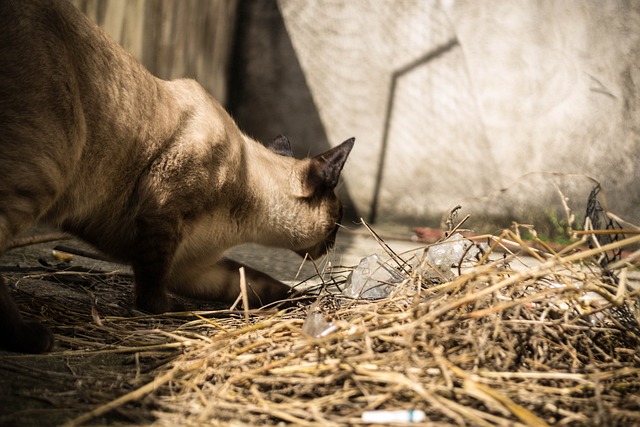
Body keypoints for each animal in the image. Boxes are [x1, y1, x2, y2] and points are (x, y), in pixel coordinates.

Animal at [0, 0, 356, 354]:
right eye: (338, 220)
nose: (333, 243)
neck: (246, 220)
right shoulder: (162, 219)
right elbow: (152, 287)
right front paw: (167, 310)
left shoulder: (195, 267)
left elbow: (260, 283)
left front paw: (305, 299)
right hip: (49, 168)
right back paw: (30, 337)